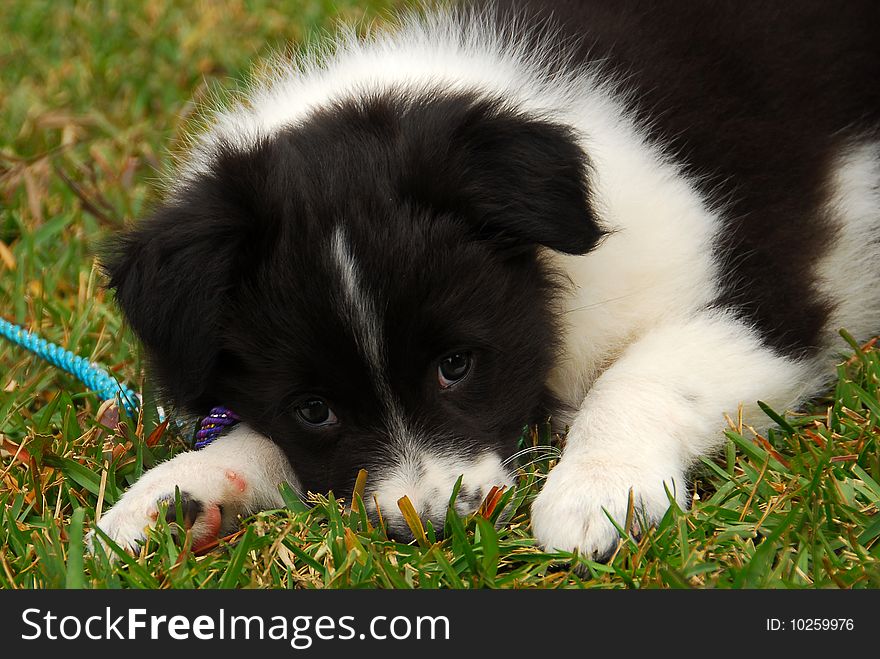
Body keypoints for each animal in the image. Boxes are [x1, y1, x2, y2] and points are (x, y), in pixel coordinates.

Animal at [93, 0, 876, 560]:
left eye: (457, 365)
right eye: (313, 408)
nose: (435, 524)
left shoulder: (771, 300)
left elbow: (643, 375)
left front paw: (596, 491)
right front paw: (175, 495)